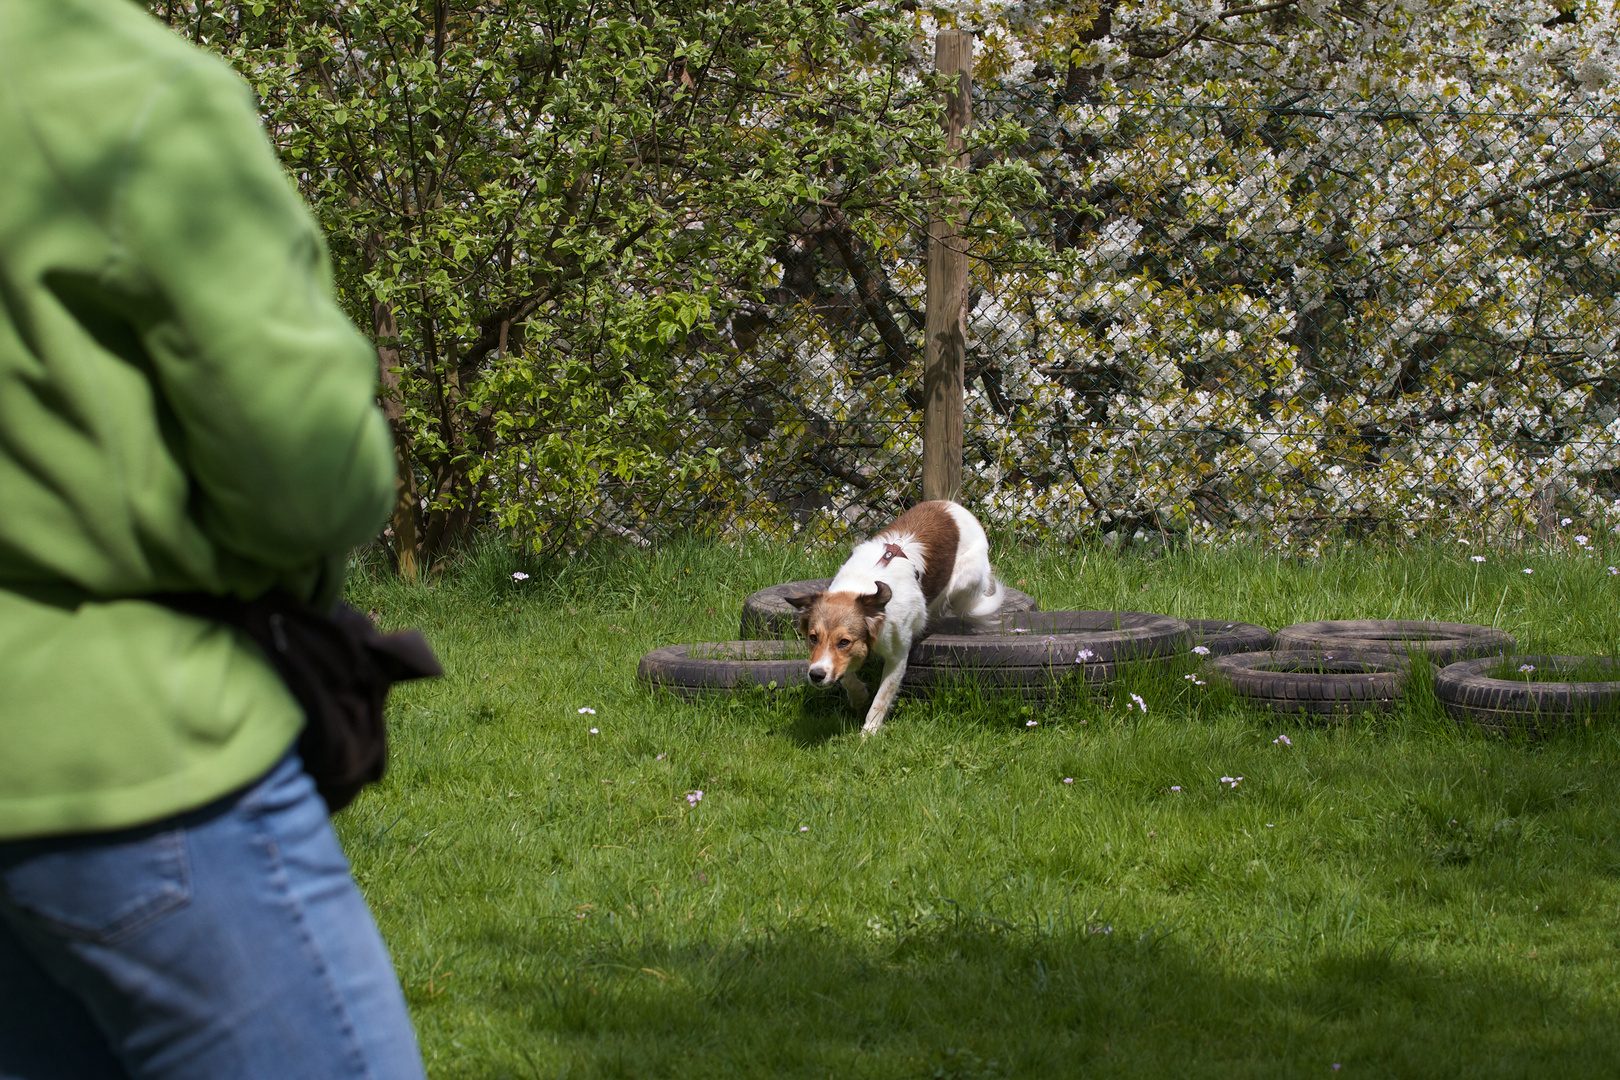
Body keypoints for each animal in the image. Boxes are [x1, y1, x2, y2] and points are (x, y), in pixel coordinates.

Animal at [784, 498, 997, 735]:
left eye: (844, 641)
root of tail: (951, 504)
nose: (816, 675)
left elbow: (882, 697)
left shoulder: (898, 656)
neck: (863, 585)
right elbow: (846, 676)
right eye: (813, 638)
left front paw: (868, 734)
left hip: (965, 580)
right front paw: (859, 696)